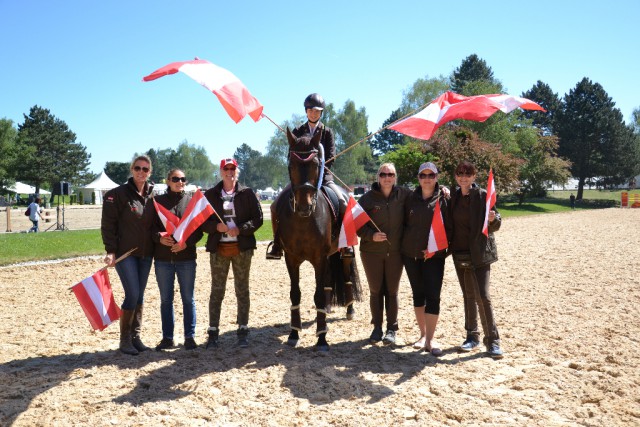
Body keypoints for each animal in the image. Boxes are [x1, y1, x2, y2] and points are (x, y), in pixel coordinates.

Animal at [276, 129, 362, 352]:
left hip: (342, 253)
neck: (303, 220)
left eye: (316, 164)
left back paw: (349, 310)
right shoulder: (291, 259)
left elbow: (319, 294)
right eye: (291, 165)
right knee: (328, 280)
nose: (304, 206)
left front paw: (322, 338)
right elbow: (295, 293)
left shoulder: (319, 258)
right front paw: (293, 333)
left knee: (346, 276)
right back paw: (329, 308)